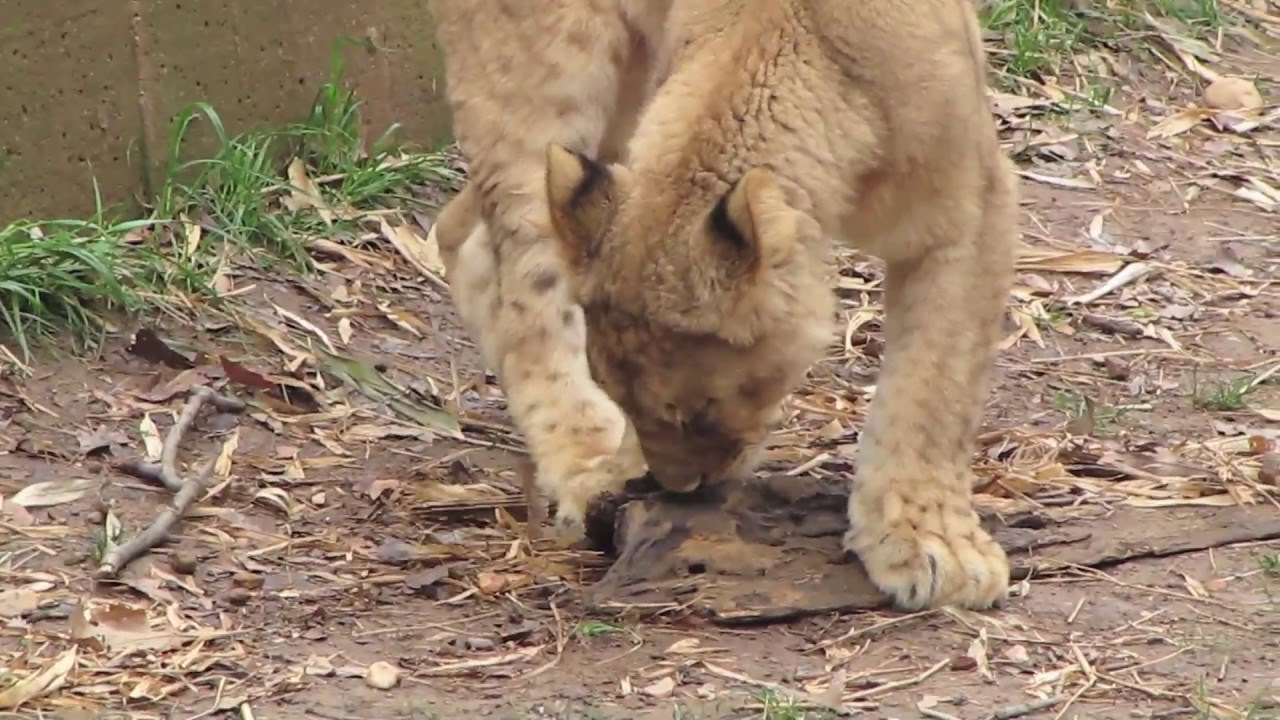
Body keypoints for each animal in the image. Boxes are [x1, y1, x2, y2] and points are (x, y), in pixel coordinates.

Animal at [540, 0, 1020, 611]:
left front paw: (931, 543)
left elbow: (934, 388)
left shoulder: (969, 207)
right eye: (617, 398)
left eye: (703, 411)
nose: (679, 489)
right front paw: (614, 474)